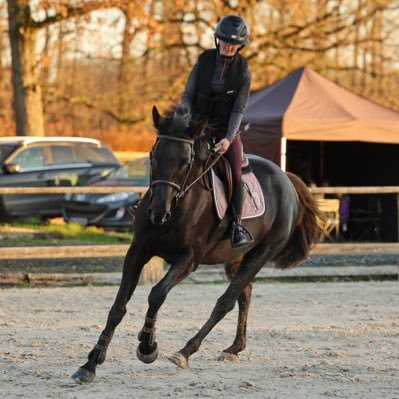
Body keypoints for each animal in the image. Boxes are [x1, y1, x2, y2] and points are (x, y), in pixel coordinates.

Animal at [71, 105, 322, 384]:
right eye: (153, 156)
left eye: (185, 162)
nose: (158, 213)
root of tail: (285, 178)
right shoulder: (138, 251)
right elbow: (118, 307)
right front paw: (91, 362)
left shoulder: (189, 259)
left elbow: (157, 294)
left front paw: (148, 346)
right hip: (235, 257)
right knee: (244, 293)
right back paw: (233, 349)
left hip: (262, 253)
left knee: (226, 301)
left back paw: (185, 351)